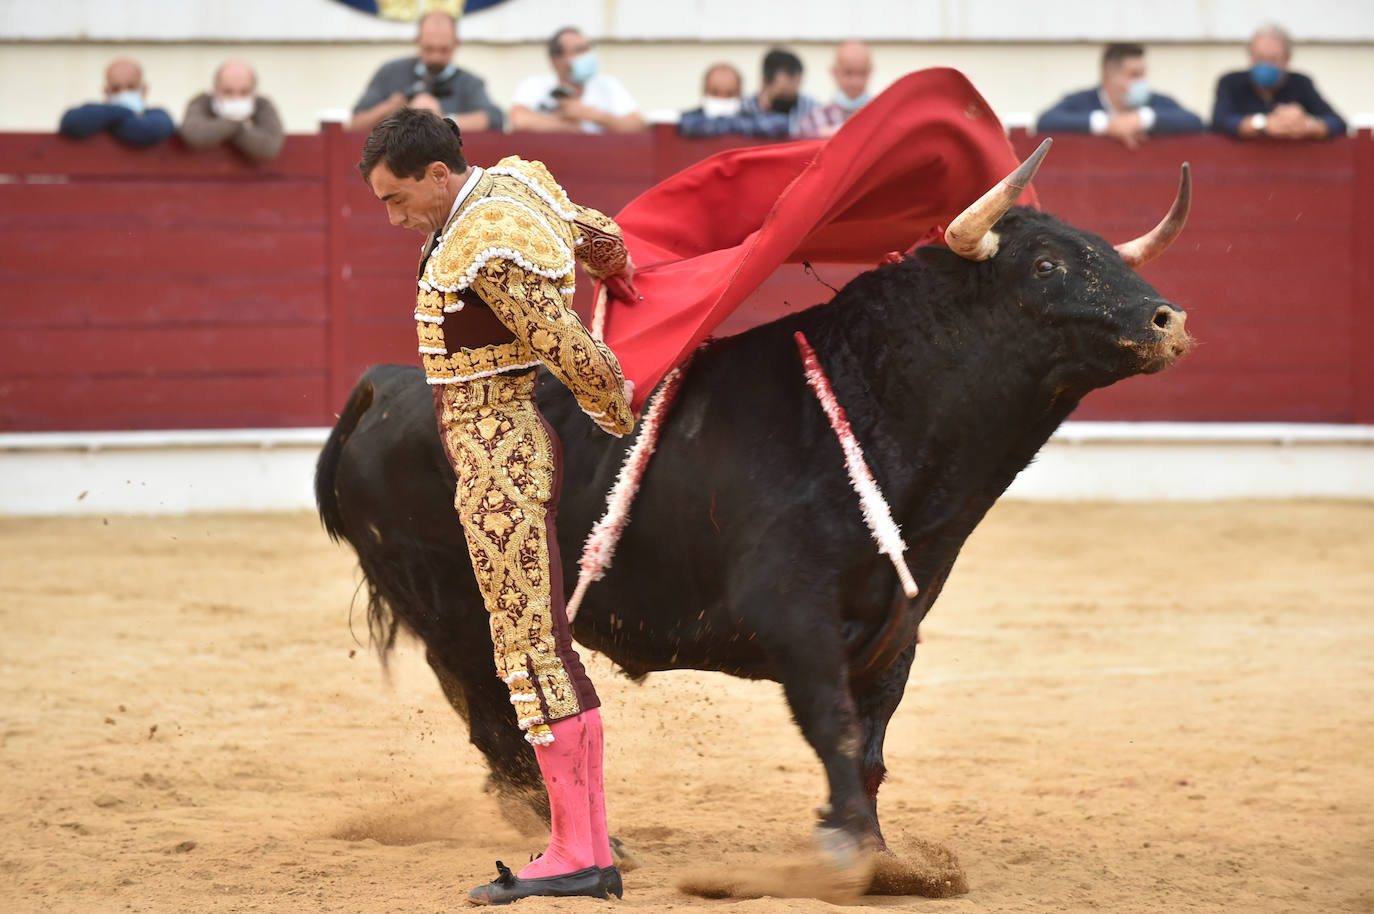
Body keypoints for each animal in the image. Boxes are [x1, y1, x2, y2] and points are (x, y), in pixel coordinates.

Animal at [314, 202, 1192, 868]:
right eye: (1045, 265)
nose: (1168, 321)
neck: (873, 402)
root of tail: (385, 385)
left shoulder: (898, 626)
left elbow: (871, 745)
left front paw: (875, 847)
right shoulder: (793, 613)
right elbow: (834, 723)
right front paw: (854, 854)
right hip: (464, 610)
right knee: (502, 712)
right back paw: (599, 844)